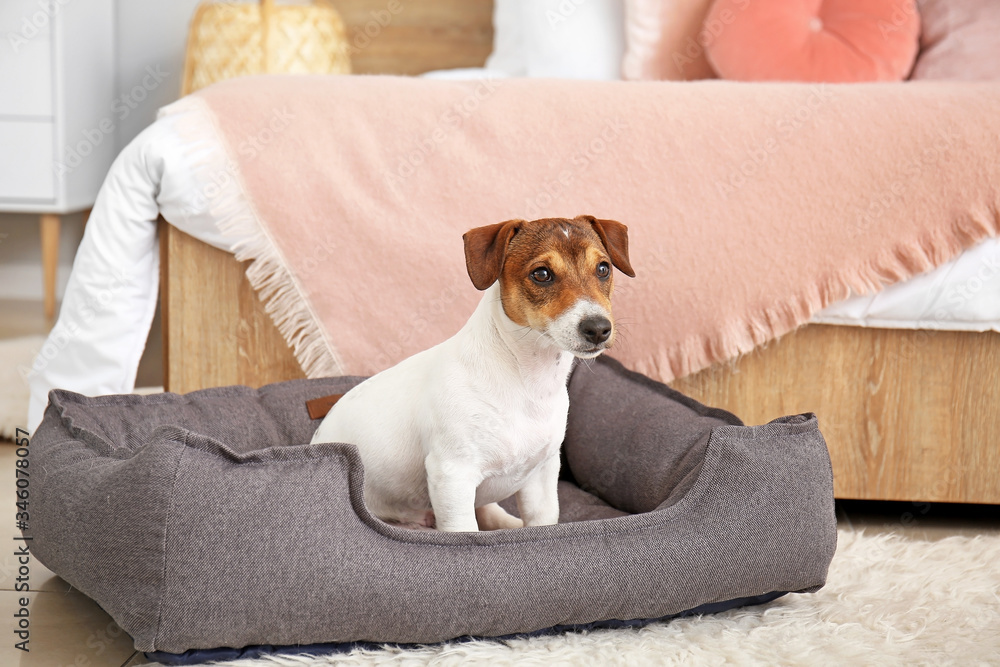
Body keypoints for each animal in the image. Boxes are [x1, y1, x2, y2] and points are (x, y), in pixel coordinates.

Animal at [312, 217, 632, 536]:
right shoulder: (452, 476)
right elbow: (464, 531)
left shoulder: (541, 476)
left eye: (603, 268)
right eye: (541, 274)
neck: (525, 378)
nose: (598, 328)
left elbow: (542, 520)